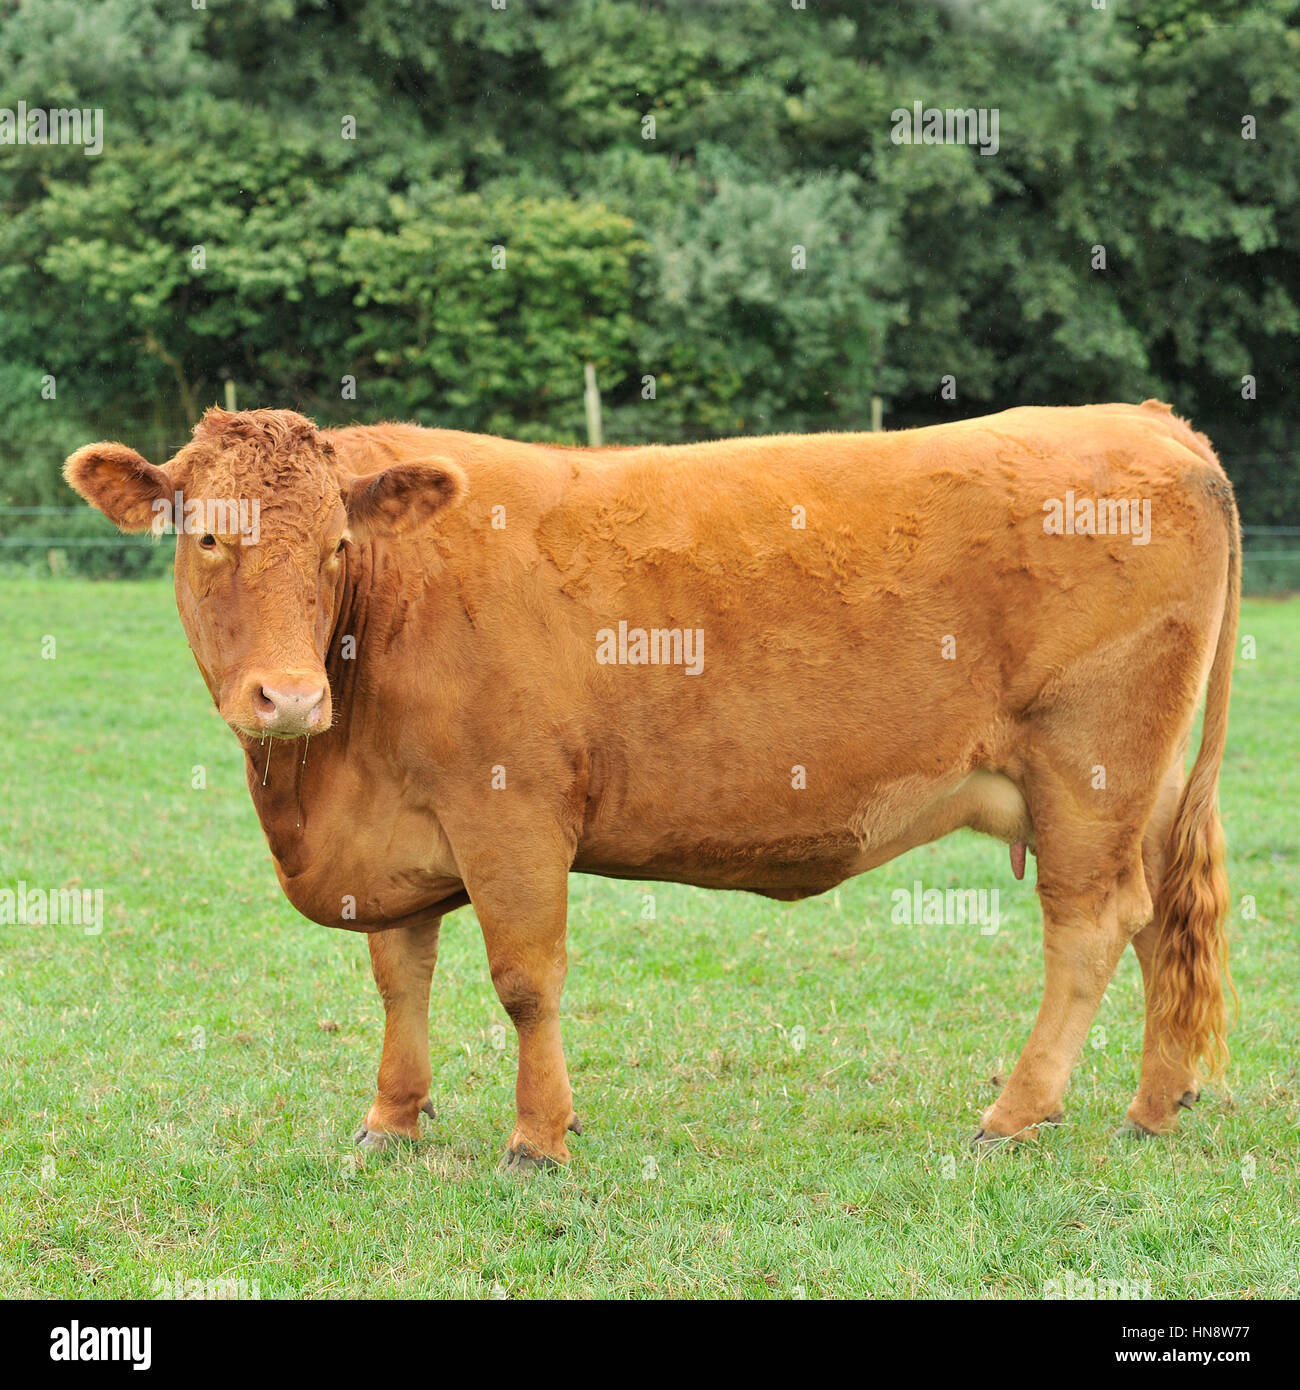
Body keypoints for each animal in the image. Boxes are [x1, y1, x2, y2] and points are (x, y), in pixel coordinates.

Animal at [64, 400, 1238, 1170]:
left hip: (1089, 770)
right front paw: (391, 1121)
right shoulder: (395, 836)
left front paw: (539, 1137)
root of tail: (1148, 420)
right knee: (1157, 922)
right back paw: (1151, 1106)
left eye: (336, 545)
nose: (289, 697)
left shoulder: (511, 812)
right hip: (1140, 789)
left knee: (1091, 926)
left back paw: (1015, 1114)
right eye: (205, 537)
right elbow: (401, 976)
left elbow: (525, 980)